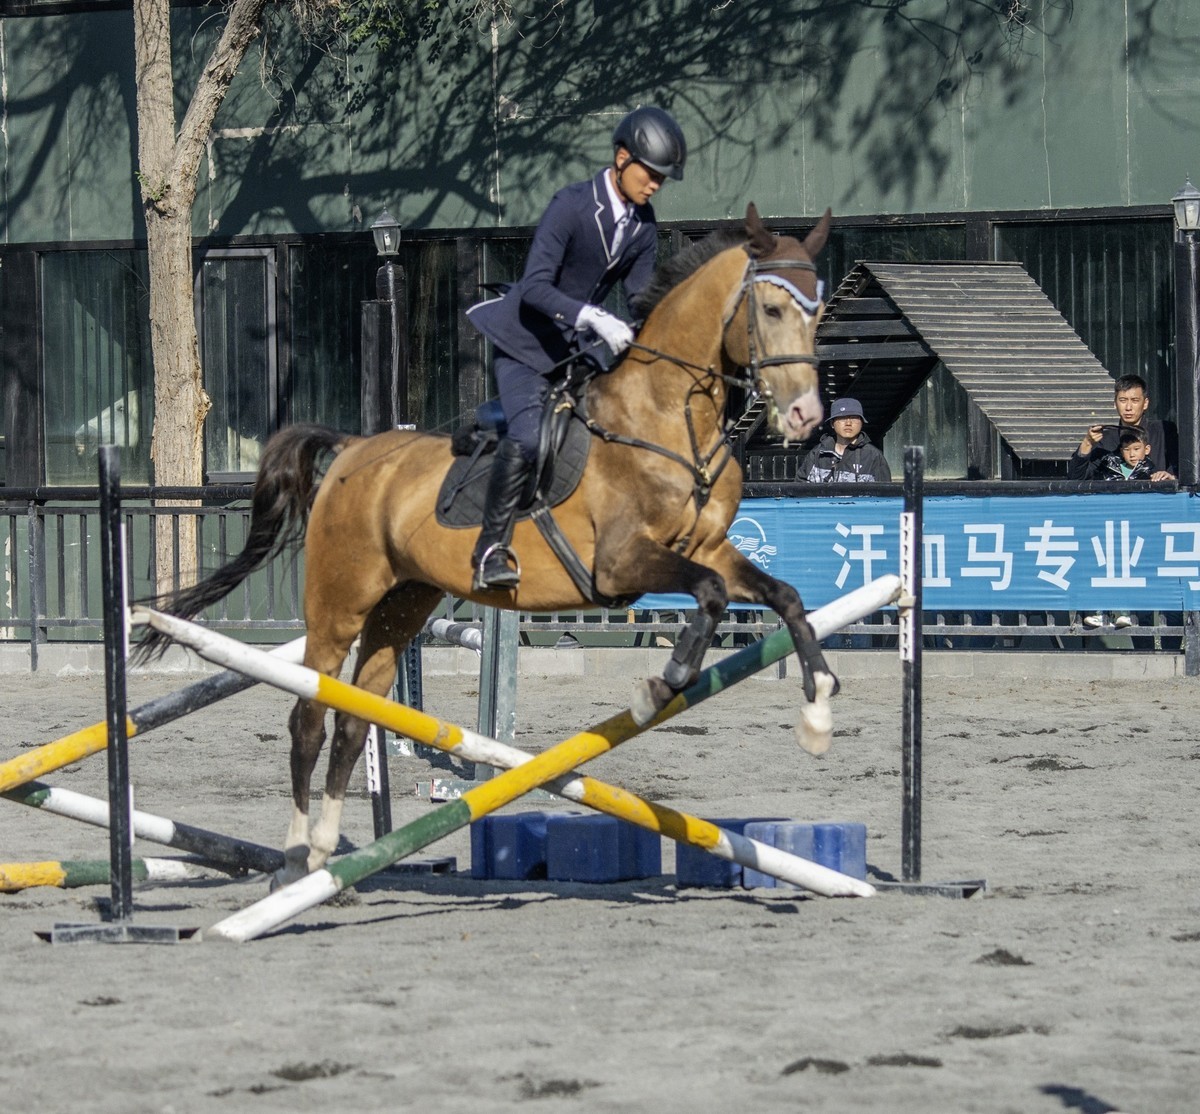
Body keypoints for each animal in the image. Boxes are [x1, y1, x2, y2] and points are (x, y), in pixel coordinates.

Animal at [137, 203, 839, 887]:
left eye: (817, 312)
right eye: (771, 310)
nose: (806, 416)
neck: (665, 416)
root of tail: (352, 450)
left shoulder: (707, 548)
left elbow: (782, 596)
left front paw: (818, 713)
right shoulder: (620, 566)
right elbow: (713, 597)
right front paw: (658, 689)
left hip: (401, 606)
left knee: (355, 718)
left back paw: (328, 856)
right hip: (339, 605)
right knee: (309, 718)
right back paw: (290, 859)